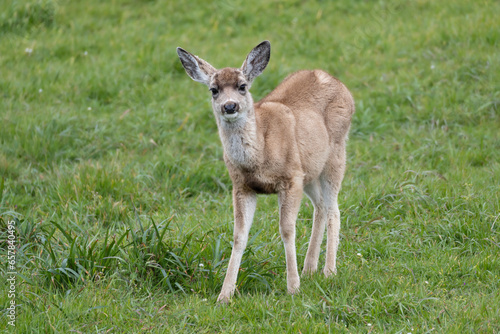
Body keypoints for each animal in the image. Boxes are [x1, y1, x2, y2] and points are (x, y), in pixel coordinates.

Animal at [177, 41, 356, 302]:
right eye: (213, 89)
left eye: (242, 86)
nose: (229, 106)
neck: (260, 154)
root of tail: (341, 85)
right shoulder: (241, 186)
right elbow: (239, 236)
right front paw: (224, 295)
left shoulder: (290, 178)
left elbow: (287, 230)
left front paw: (293, 287)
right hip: (310, 171)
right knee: (321, 206)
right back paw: (309, 268)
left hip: (336, 153)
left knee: (334, 208)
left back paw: (328, 271)